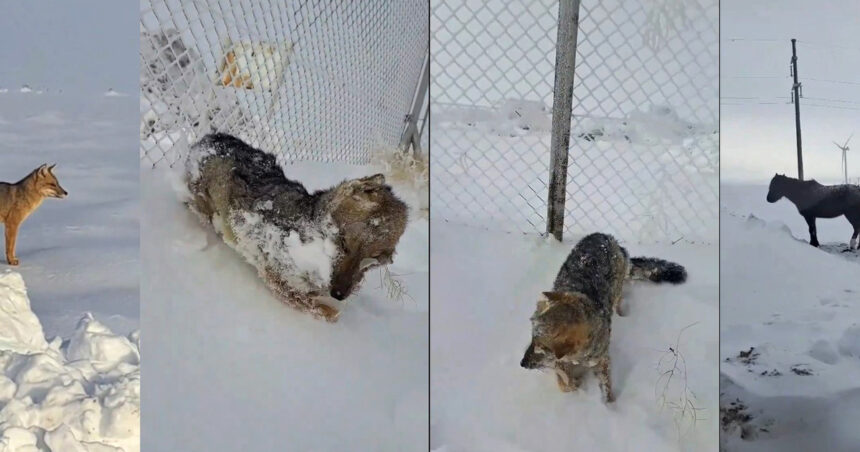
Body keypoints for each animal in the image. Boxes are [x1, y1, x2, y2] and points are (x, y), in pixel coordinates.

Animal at [184, 133, 410, 322]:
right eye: (343, 242)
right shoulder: (275, 276)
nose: (338, 294)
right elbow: (315, 307)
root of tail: (213, 136)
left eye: (373, 260)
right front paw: (329, 311)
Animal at [516, 233, 684, 402]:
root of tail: (608, 237)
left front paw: (609, 406)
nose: (522, 363)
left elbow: (606, 390)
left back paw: (621, 313)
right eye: (532, 339)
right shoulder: (561, 362)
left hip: (616, 291)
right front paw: (575, 384)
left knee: (618, 301)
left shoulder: (602, 361)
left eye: (542, 348)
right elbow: (563, 384)